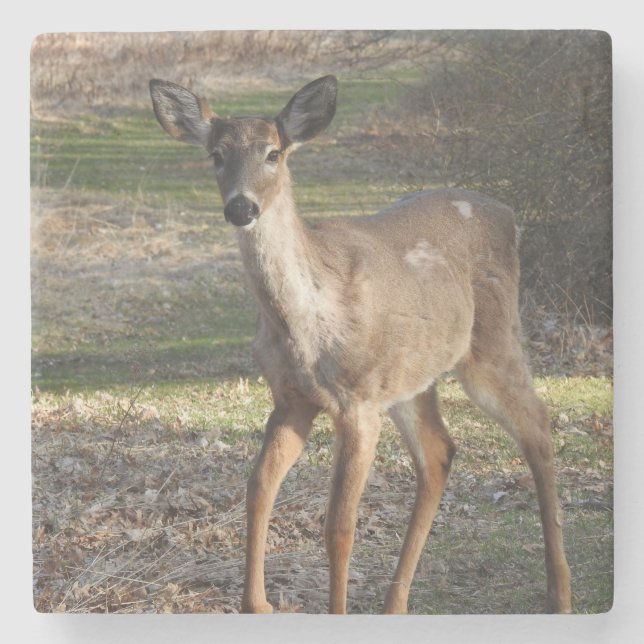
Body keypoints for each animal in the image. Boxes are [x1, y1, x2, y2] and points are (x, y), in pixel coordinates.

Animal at [149, 75, 572, 614]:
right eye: (216, 154)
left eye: (273, 153)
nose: (241, 207)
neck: (306, 322)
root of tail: (510, 214)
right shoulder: (291, 399)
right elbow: (258, 489)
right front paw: (256, 605)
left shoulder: (358, 401)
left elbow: (339, 527)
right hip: (413, 374)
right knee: (440, 450)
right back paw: (396, 604)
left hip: (491, 341)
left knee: (536, 425)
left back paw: (560, 593)